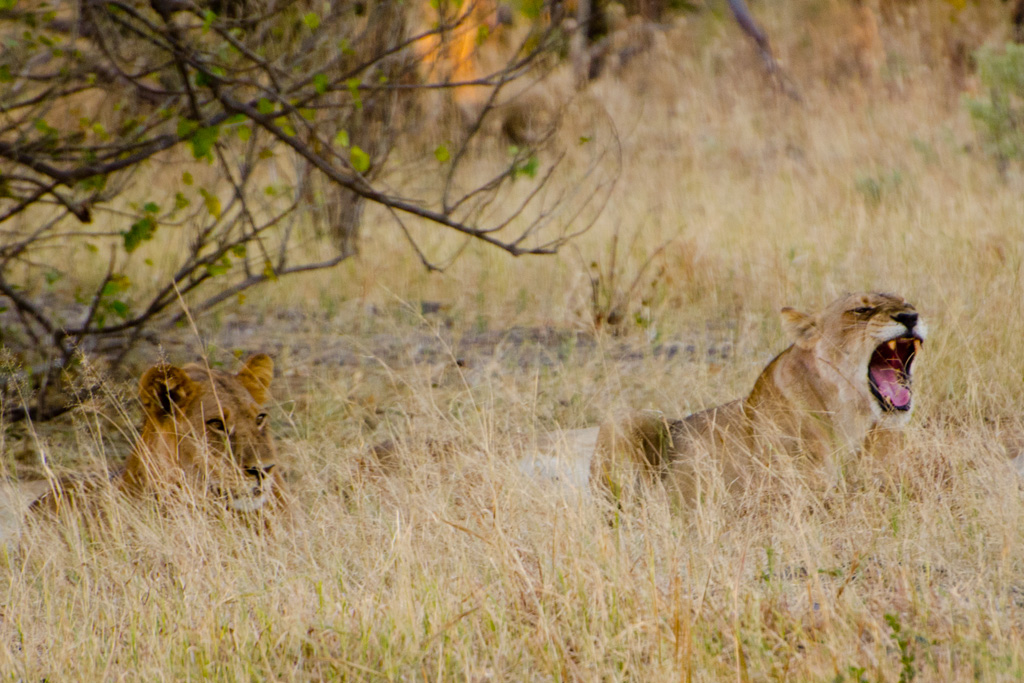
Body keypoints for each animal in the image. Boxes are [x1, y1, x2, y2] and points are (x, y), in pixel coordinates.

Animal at [590, 292, 926, 505]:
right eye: (862, 310)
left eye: (906, 302)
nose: (911, 316)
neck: (851, 414)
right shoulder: (790, 493)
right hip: (625, 419)